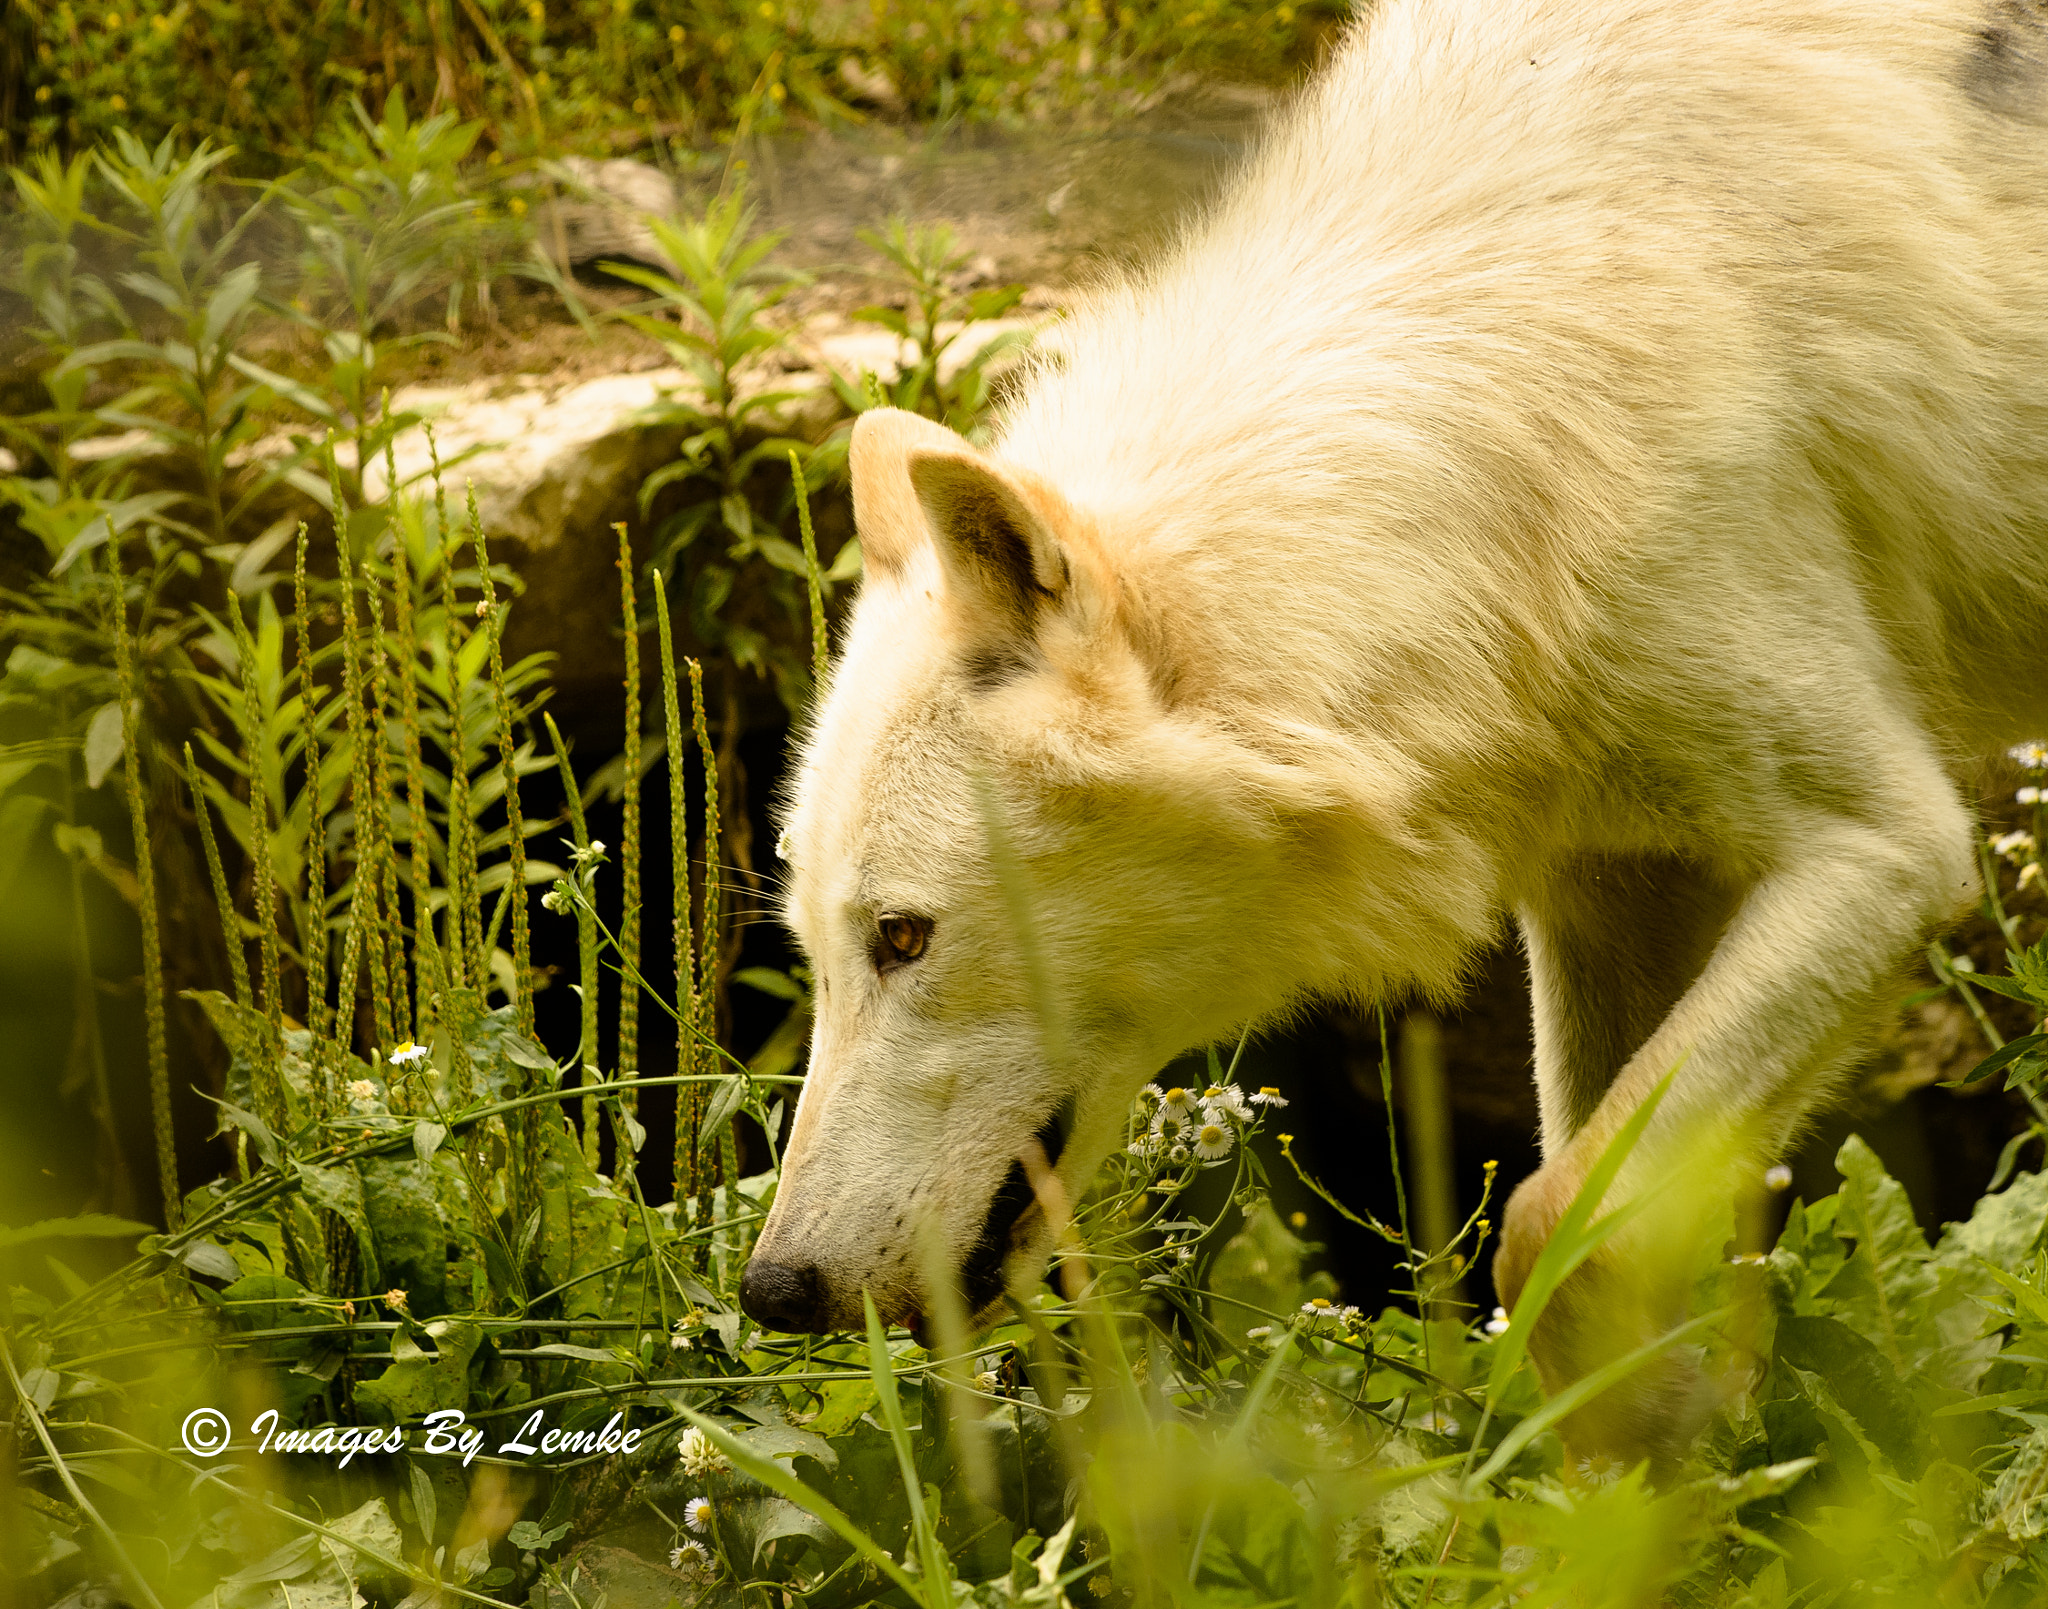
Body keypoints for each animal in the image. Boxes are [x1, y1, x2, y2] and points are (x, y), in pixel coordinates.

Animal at [739, 0, 2048, 1466]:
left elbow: (1545, 1218)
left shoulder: (1884, 849)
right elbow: (1604, 1192)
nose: (771, 1289)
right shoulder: (1607, 883)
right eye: (815, 952)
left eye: (905, 938)